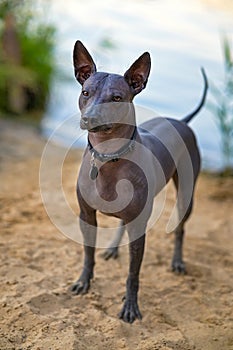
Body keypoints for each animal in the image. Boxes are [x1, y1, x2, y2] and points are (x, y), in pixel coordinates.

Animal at [71, 40, 208, 322]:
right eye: (86, 92)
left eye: (116, 98)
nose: (90, 118)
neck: (108, 157)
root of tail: (180, 121)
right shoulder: (86, 215)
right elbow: (88, 254)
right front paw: (84, 281)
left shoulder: (139, 228)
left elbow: (133, 273)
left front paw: (131, 306)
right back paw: (113, 249)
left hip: (186, 196)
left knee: (181, 229)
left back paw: (177, 261)